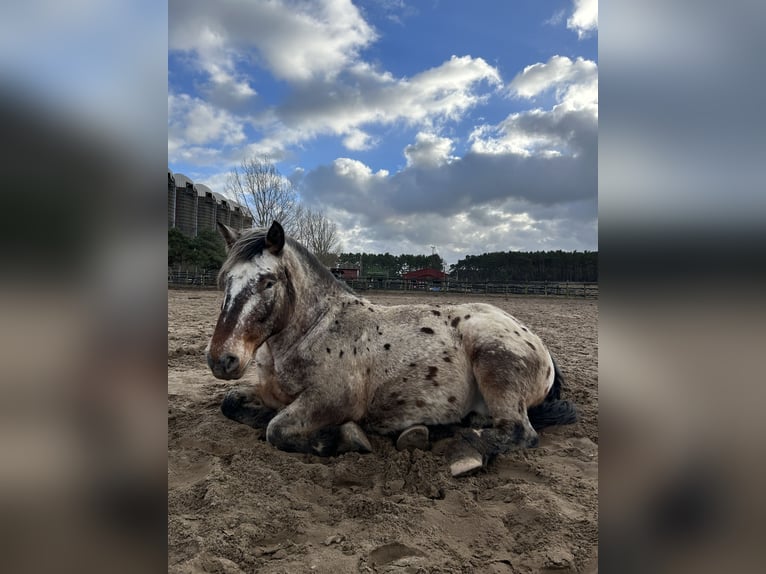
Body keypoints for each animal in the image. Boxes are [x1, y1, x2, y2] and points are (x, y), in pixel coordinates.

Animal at [207, 220, 580, 476]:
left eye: (268, 282)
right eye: (224, 280)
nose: (221, 360)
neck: (313, 331)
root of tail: (537, 342)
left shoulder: (329, 401)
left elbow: (276, 430)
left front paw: (342, 438)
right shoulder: (270, 393)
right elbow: (232, 404)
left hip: (494, 363)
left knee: (519, 432)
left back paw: (463, 453)